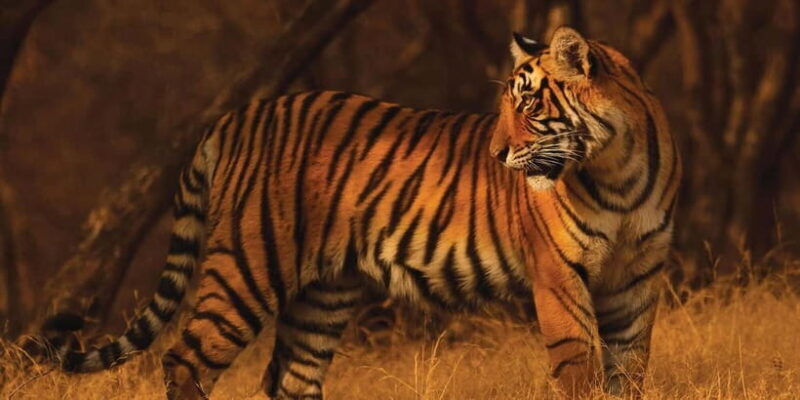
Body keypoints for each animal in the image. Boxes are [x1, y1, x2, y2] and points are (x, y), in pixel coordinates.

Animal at [40, 26, 680, 399]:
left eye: (527, 104)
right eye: (505, 106)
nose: (497, 154)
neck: (615, 169)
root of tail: (237, 115)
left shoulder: (636, 281)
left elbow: (630, 370)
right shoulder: (558, 277)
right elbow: (581, 369)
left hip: (322, 294)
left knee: (289, 379)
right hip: (247, 268)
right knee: (186, 359)